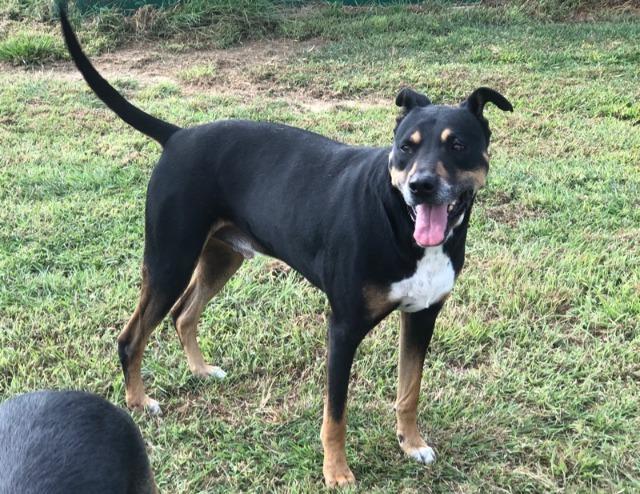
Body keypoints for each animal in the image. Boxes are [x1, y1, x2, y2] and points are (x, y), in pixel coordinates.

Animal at [62, 10, 512, 486]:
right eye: (405, 148)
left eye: (457, 145)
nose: (421, 186)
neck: (398, 219)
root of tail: (179, 135)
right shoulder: (343, 327)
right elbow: (336, 413)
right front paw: (336, 472)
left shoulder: (423, 314)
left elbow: (410, 389)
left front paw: (411, 443)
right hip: (170, 260)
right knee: (132, 337)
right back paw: (138, 401)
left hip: (222, 256)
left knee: (184, 314)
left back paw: (201, 371)